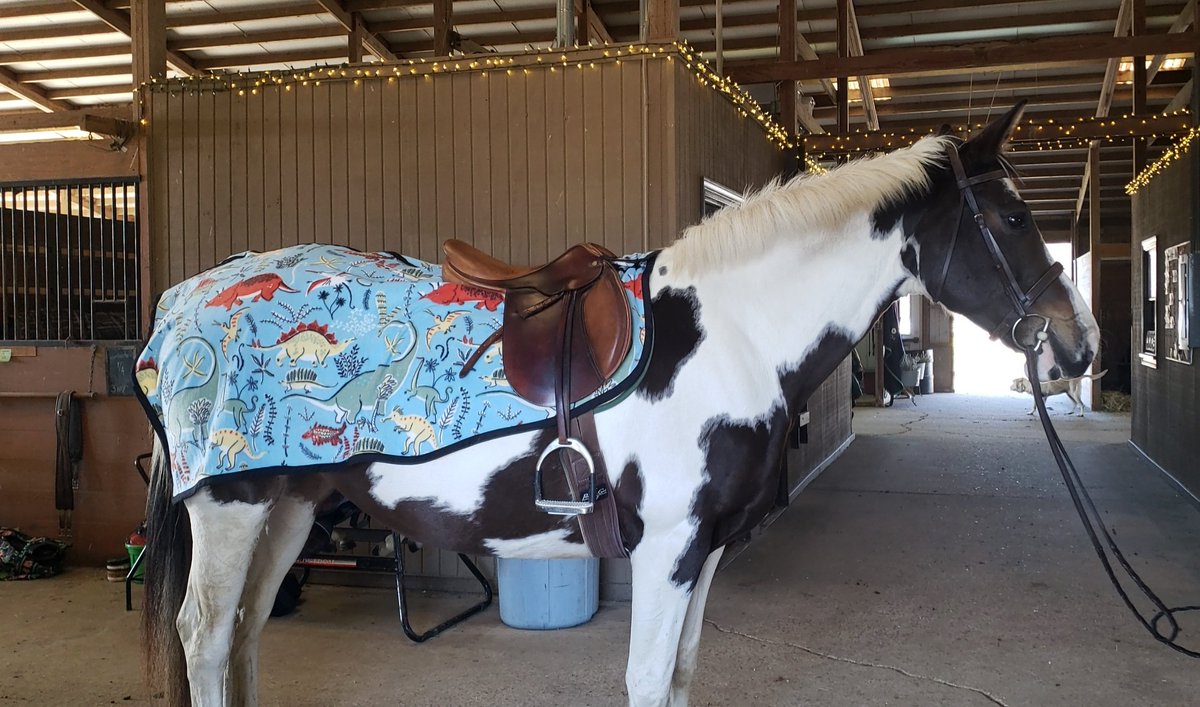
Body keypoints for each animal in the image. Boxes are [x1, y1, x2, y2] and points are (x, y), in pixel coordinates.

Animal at [140, 101, 1099, 706]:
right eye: (1013, 219)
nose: (1078, 344)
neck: (729, 334)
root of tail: (181, 300)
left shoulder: (705, 548)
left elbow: (679, 675)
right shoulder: (666, 546)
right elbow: (644, 679)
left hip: (290, 504)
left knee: (247, 634)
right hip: (229, 507)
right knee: (208, 636)